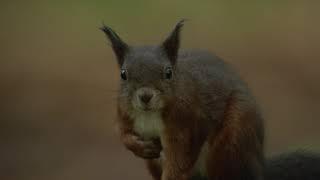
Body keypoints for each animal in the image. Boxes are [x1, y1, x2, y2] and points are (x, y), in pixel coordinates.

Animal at [100, 20, 320, 180]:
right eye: (123, 74)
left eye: (168, 73)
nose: (145, 96)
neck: (150, 114)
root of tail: (259, 166)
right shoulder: (124, 113)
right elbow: (123, 133)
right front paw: (139, 146)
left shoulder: (187, 122)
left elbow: (179, 160)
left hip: (232, 142)